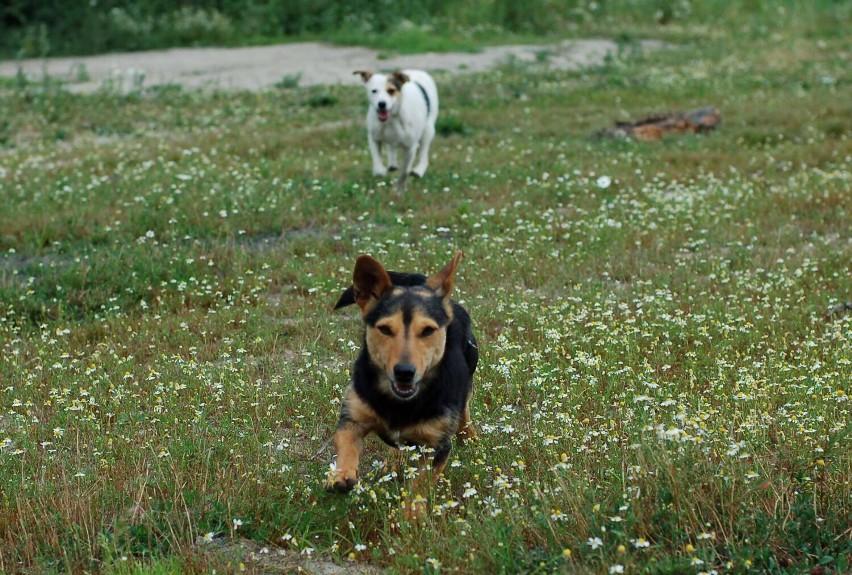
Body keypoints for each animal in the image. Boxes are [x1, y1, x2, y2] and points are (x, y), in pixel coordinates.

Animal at [326, 252, 476, 496]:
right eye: (385, 329)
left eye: (428, 330)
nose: (404, 372)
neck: (400, 403)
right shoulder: (353, 416)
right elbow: (345, 440)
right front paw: (342, 474)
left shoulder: (436, 447)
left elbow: (419, 488)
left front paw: (412, 507)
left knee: (464, 410)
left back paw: (469, 436)